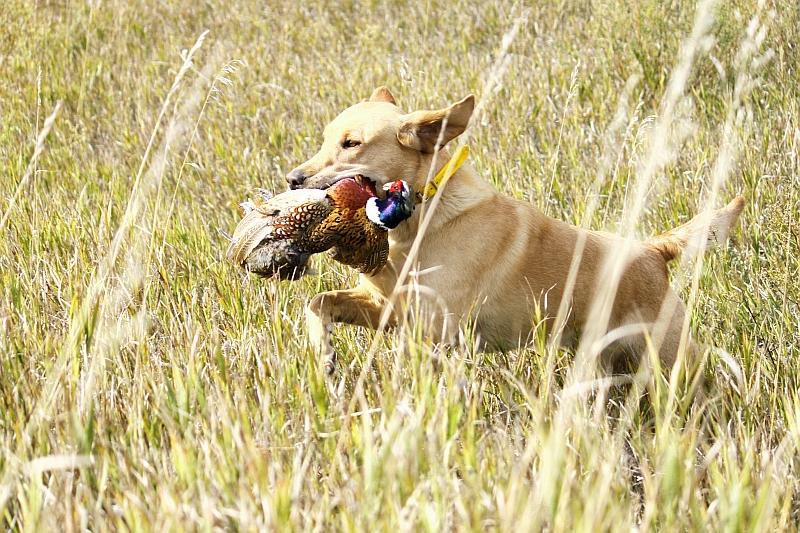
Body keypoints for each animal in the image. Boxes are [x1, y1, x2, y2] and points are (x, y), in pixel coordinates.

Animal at [290, 85, 744, 372]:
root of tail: (652, 250)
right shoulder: (386, 308)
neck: (421, 219)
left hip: (669, 352)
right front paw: (324, 353)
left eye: (352, 144)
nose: (293, 179)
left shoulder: (436, 331)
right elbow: (318, 302)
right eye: (326, 139)